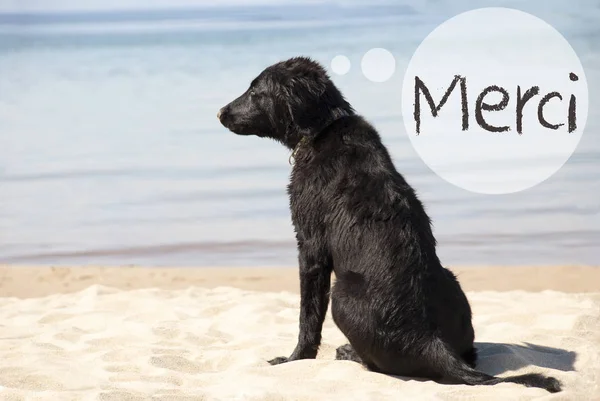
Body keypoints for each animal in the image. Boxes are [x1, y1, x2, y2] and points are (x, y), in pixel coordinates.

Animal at [219, 57, 564, 394]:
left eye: (256, 91)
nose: (220, 113)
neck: (323, 127)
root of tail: (432, 343)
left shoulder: (311, 246)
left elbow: (308, 316)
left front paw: (294, 359)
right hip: (452, 282)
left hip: (341, 294)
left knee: (375, 364)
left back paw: (348, 352)